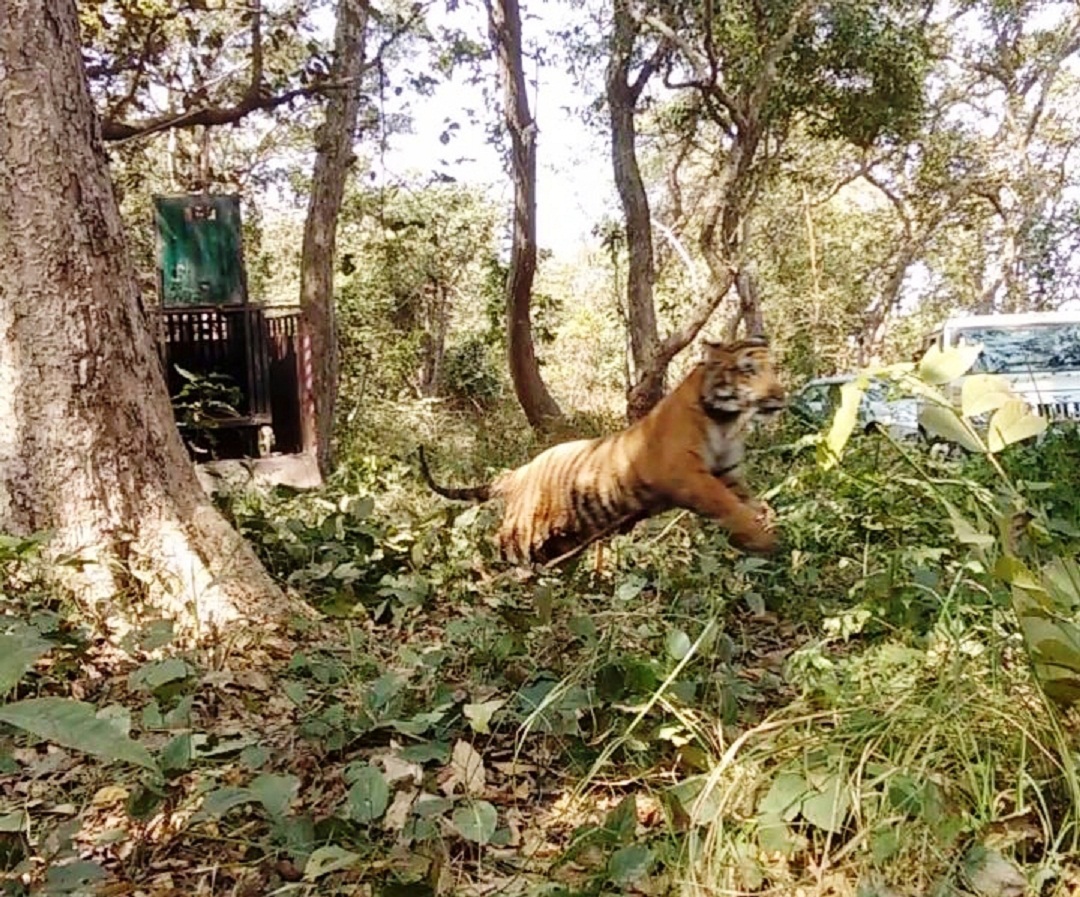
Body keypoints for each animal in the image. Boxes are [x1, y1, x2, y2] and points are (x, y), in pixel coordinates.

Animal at [419, 336, 786, 569]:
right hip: (522, 530)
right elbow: (729, 506)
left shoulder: (727, 473)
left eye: (774, 369)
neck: (725, 419)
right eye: (749, 370)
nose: (780, 395)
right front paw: (764, 540)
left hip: (566, 534)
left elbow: (750, 500)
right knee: (498, 543)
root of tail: (520, 471)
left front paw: (770, 520)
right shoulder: (687, 474)